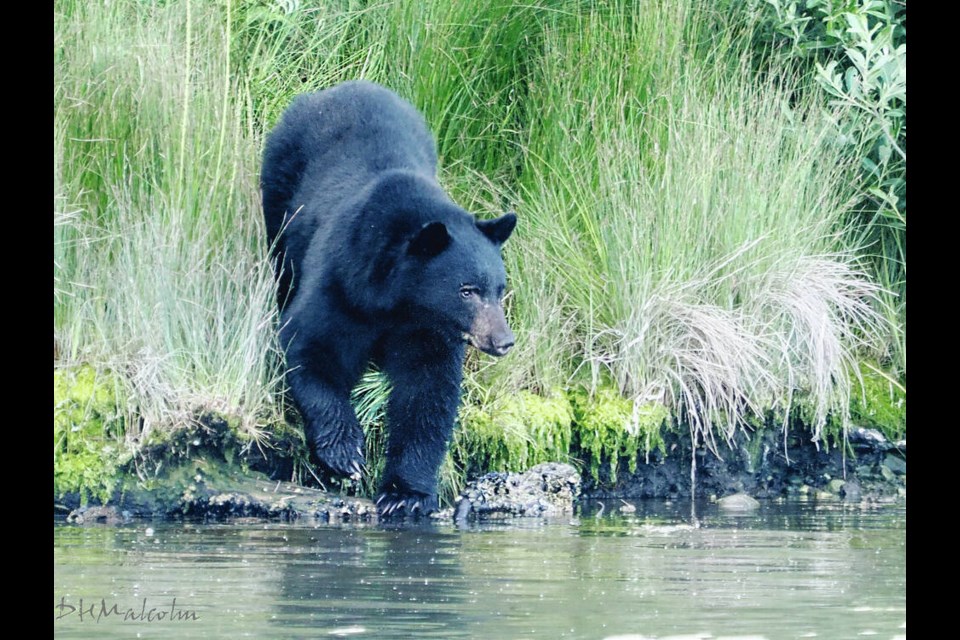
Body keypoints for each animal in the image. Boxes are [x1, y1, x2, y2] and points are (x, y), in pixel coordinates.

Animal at [260, 80, 516, 516]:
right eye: (467, 290)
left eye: (500, 290)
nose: (502, 340)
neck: (397, 301)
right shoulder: (342, 282)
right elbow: (311, 345)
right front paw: (345, 453)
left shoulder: (425, 332)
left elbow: (426, 394)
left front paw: (406, 494)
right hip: (279, 184)